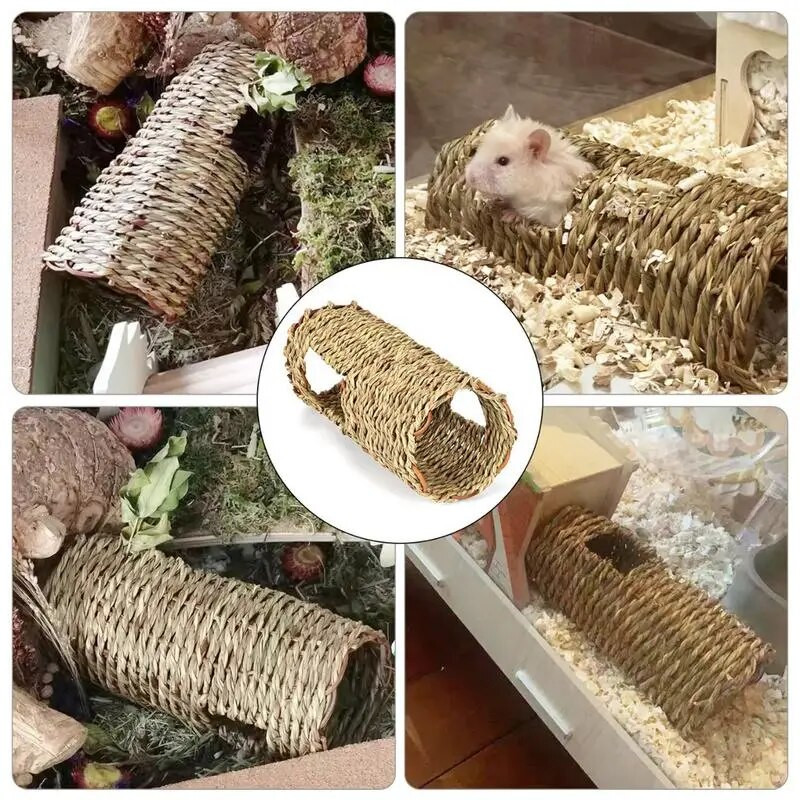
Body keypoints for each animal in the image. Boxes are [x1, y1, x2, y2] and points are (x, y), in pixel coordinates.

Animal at [465, 105, 594, 227]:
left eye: (503, 161)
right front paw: (496, 203)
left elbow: (526, 214)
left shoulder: (548, 210)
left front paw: (507, 216)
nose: (469, 178)